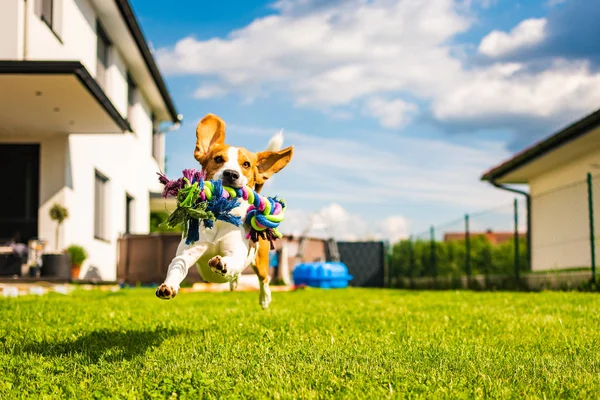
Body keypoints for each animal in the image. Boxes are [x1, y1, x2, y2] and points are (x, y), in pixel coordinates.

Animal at [156, 113, 294, 310]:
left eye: (246, 164)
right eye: (218, 159)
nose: (231, 174)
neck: (221, 214)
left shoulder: (236, 252)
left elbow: (232, 260)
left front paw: (222, 264)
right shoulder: (188, 251)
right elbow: (178, 264)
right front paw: (168, 286)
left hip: (260, 260)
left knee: (264, 279)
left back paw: (264, 298)